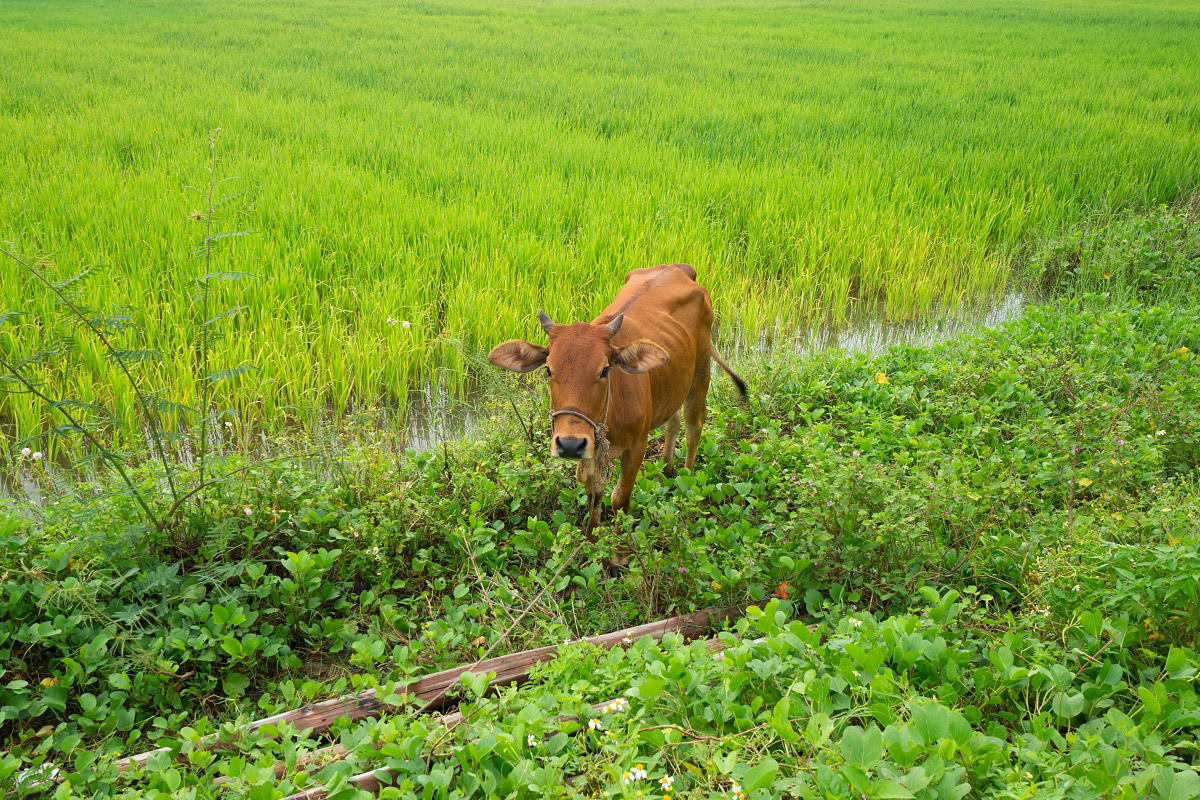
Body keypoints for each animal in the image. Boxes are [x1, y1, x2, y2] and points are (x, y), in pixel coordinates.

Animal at [484, 262, 739, 532]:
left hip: (700, 371)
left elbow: (619, 498)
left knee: (693, 425)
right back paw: (668, 470)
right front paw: (592, 537)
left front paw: (619, 541)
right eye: (548, 369)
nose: (570, 444)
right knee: (673, 421)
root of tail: (679, 267)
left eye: (605, 370)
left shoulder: (637, 446)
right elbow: (594, 496)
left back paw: (688, 479)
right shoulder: (591, 451)